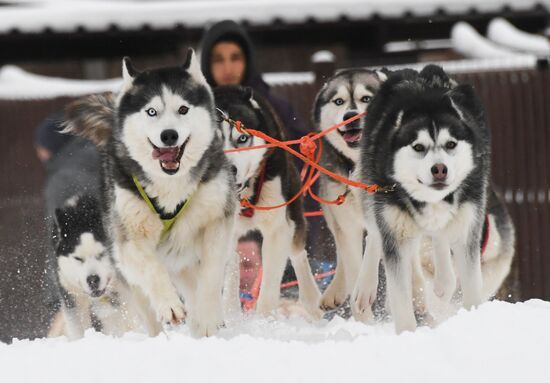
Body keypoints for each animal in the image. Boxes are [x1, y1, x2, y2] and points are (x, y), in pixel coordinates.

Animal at [63, 49, 236, 338]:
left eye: (183, 109)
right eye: (151, 111)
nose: (169, 135)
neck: (170, 186)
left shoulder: (216, 221)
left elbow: (210, 273)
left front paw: (207, 316)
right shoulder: (130, 241)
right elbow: (152, 269)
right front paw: (170, 306)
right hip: (133, 283)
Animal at [213, 87, 322, 318]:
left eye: (242, 138)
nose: (230, 169)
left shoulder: (278, 229)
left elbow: (269, 288)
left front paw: (264, 321)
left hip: (294, 213)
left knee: (297, 254)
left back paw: (311, 299)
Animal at [312, 68, 386, 308]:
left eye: (366, 99)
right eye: (339, 101)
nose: (349, 116)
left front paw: (365, 286)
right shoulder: (346, 222)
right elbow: (352, 263)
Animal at [354, 66, 500, 332]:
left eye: (451, 144)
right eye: (418, 147)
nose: (439, 169)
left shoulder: (468, 227)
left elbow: (472, 283)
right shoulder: (395, 233)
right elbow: (400, 296)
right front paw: (407, 334)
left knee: (439, 237)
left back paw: (444, 280)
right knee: (375, 234)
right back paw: (365, 287)